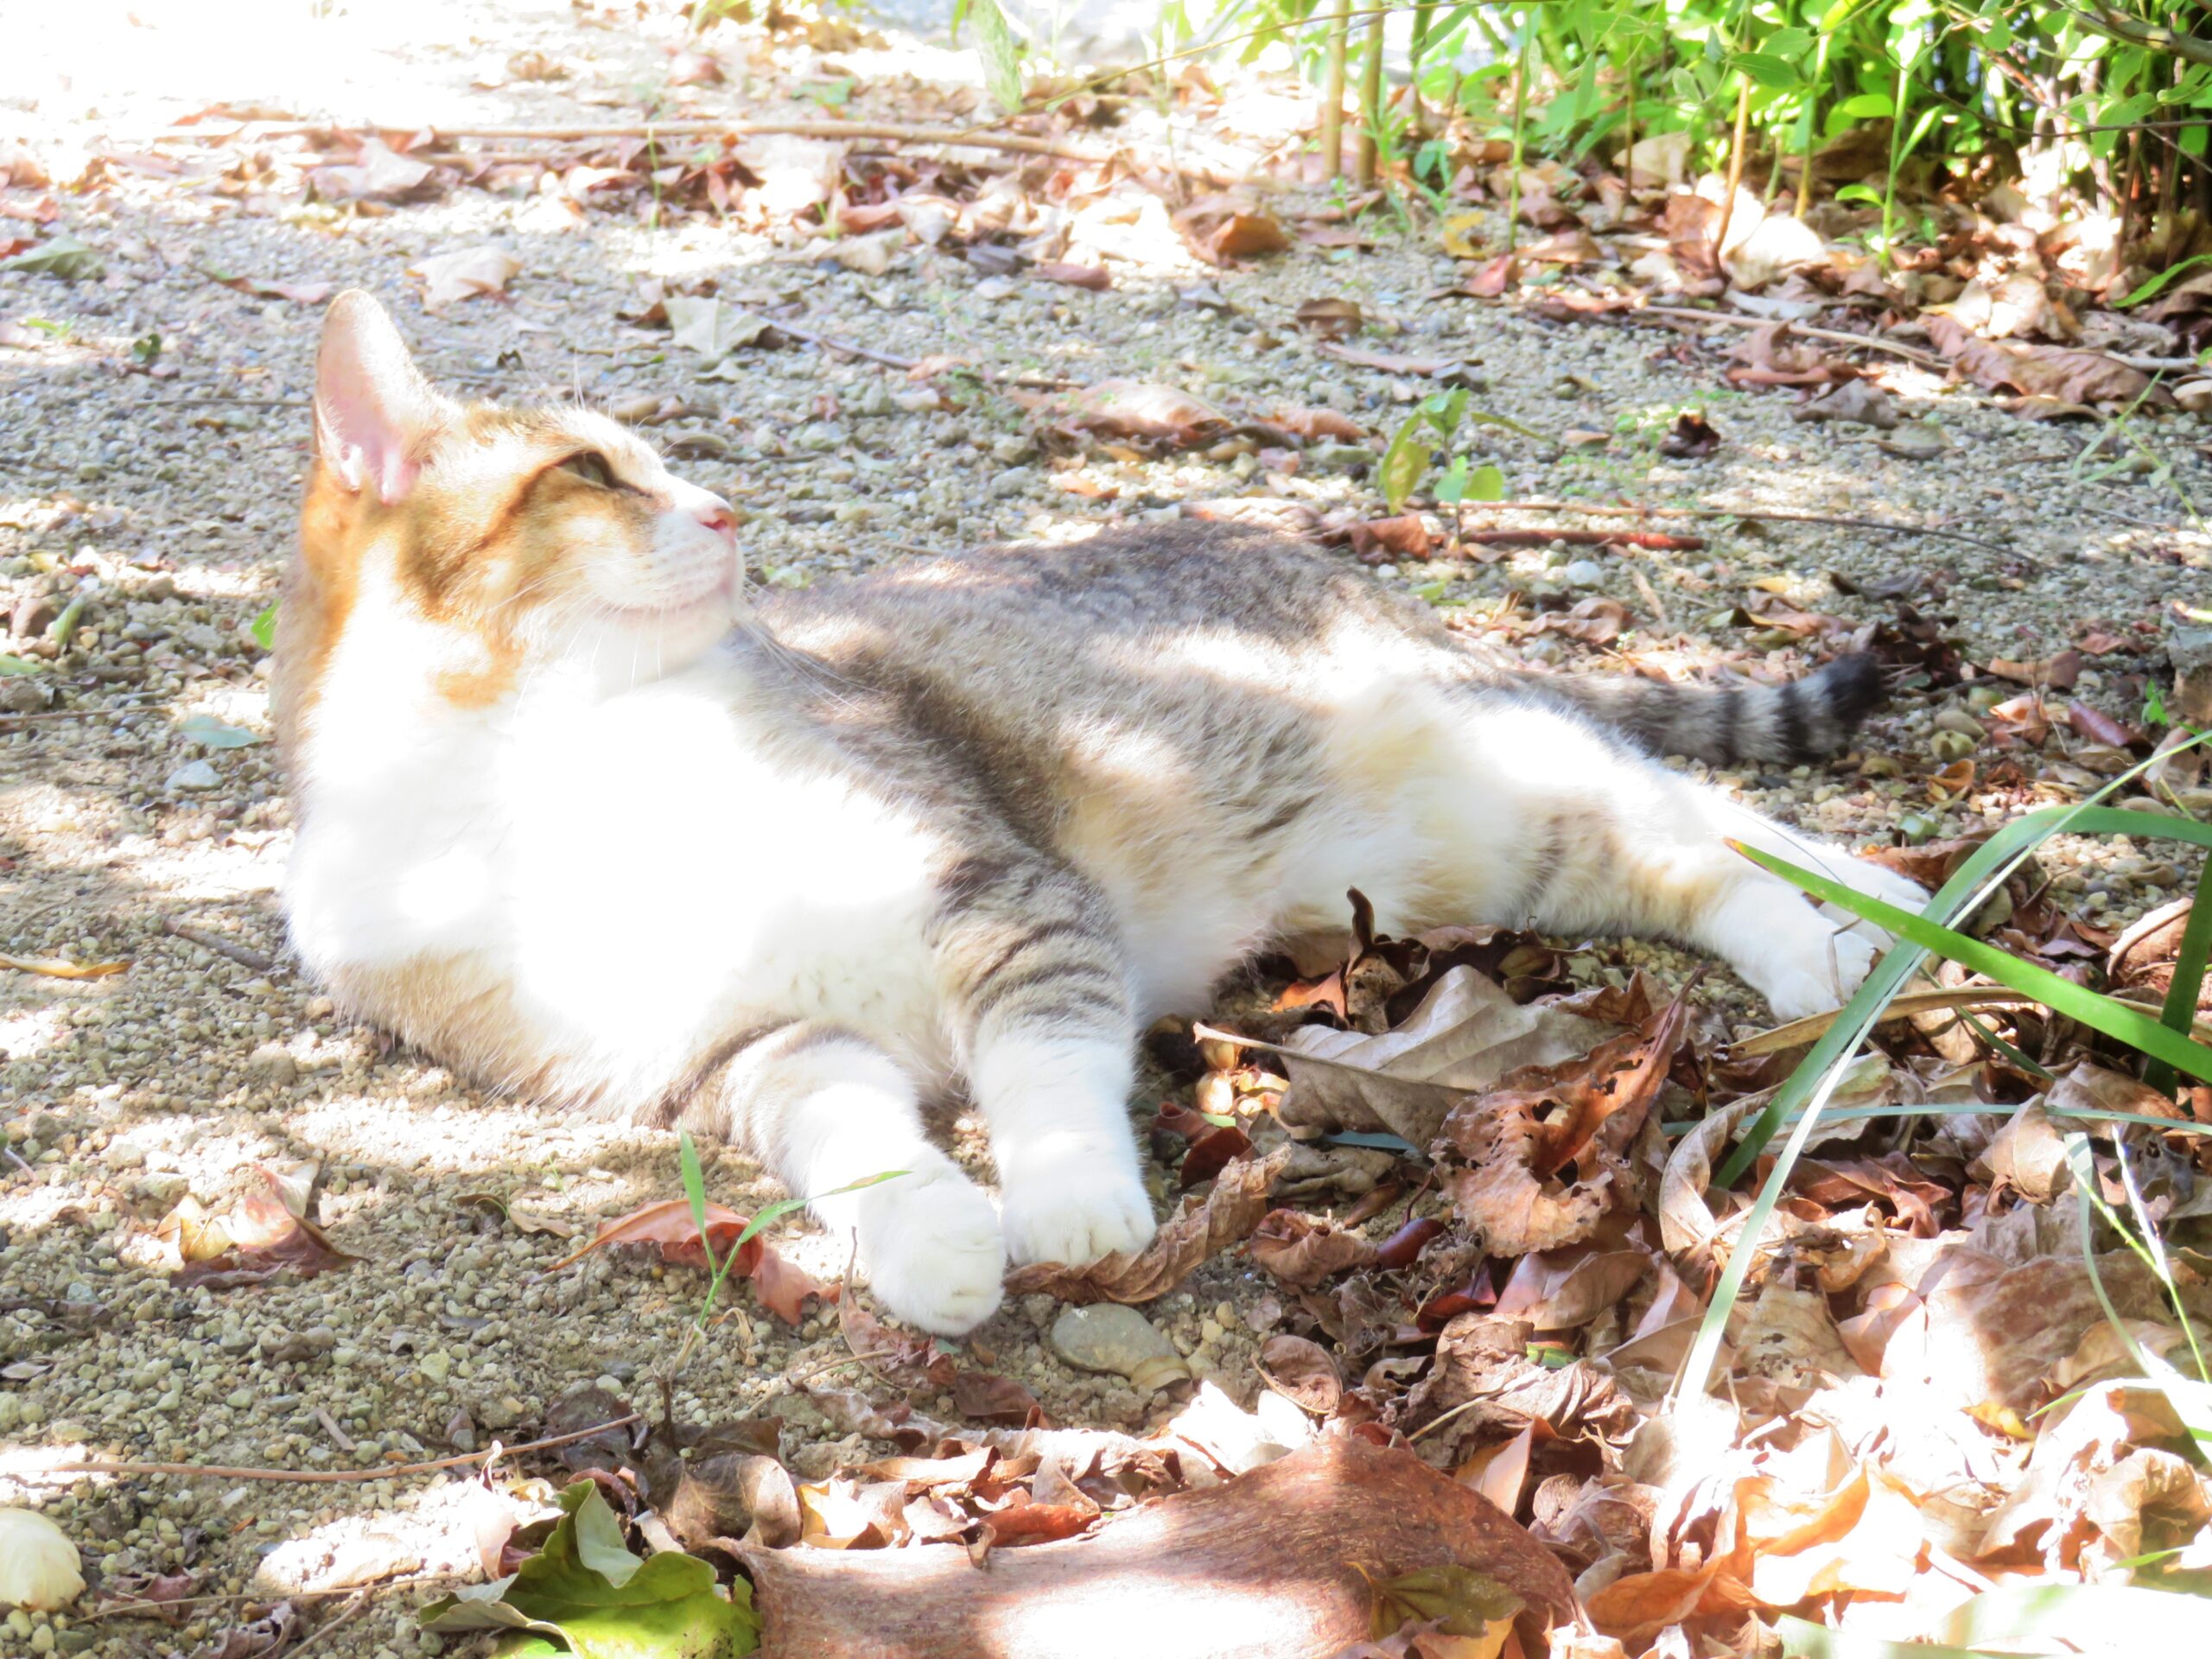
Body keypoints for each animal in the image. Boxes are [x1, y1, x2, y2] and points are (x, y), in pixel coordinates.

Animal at [276, 291, 1929, 1336]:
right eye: (588, 472)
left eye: (664, 463)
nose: (728, 514)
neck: (542, 774)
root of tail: (1330, 565)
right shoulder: (741, 1053)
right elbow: (845, 1135)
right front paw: (934, 1240)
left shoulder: (996, 891)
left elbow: (1045, 1054)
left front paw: (1066, 1198)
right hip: (1468, 855)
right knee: (1694, 827)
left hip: (1508, 768)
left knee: (1708, 831)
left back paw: (1842, 944)